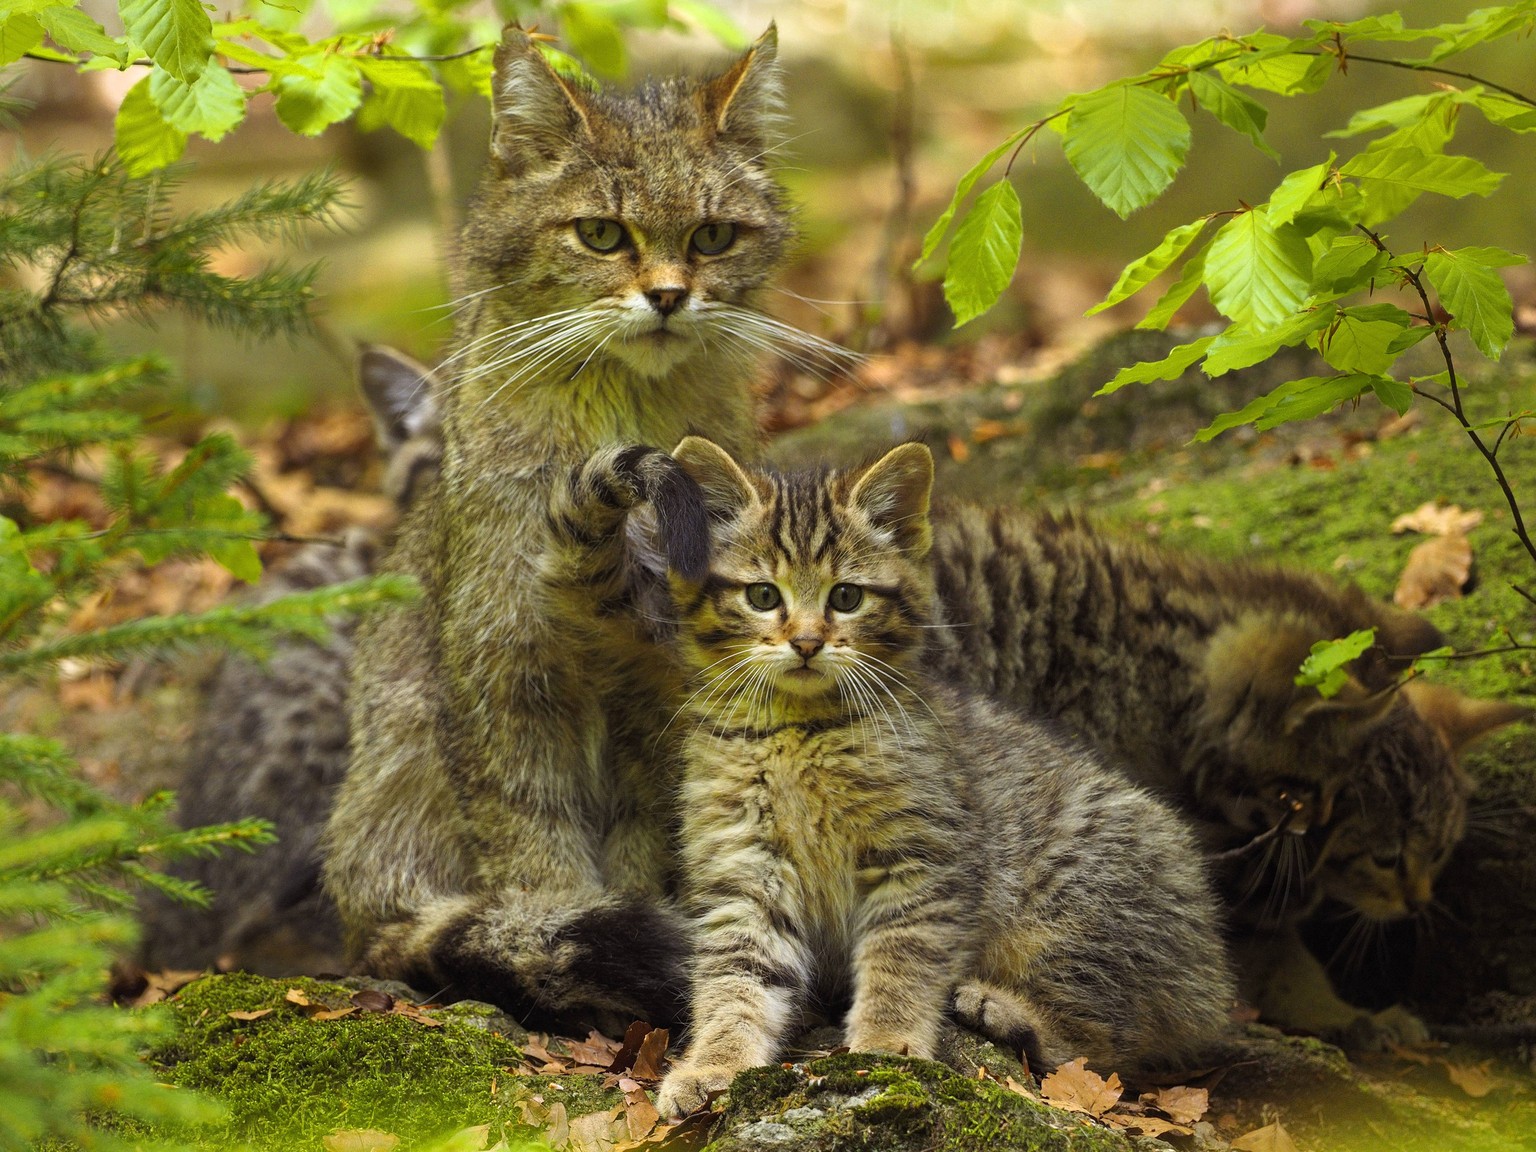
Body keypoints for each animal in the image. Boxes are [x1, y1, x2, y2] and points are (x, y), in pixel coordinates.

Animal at [321, 24, 841, 1026]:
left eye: (712, 236)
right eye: (603, 233)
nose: (670, 295)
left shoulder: (663, 693)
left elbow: (646, 848)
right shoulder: (503, 675)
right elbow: (536, 858)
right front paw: (566, 938)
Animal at [583, 442, 1222, 1118]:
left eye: (846, 597)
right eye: (761, 595)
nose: (806, 642)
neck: (800, 731)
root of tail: (1213, 961)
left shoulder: (922, 861)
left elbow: (901, 961)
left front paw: (886, 1045)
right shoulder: (744, 869)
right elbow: (737, 975)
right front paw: (714, 1060)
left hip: (1075, 907)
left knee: (1110, 1047)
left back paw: (1004, 1010)